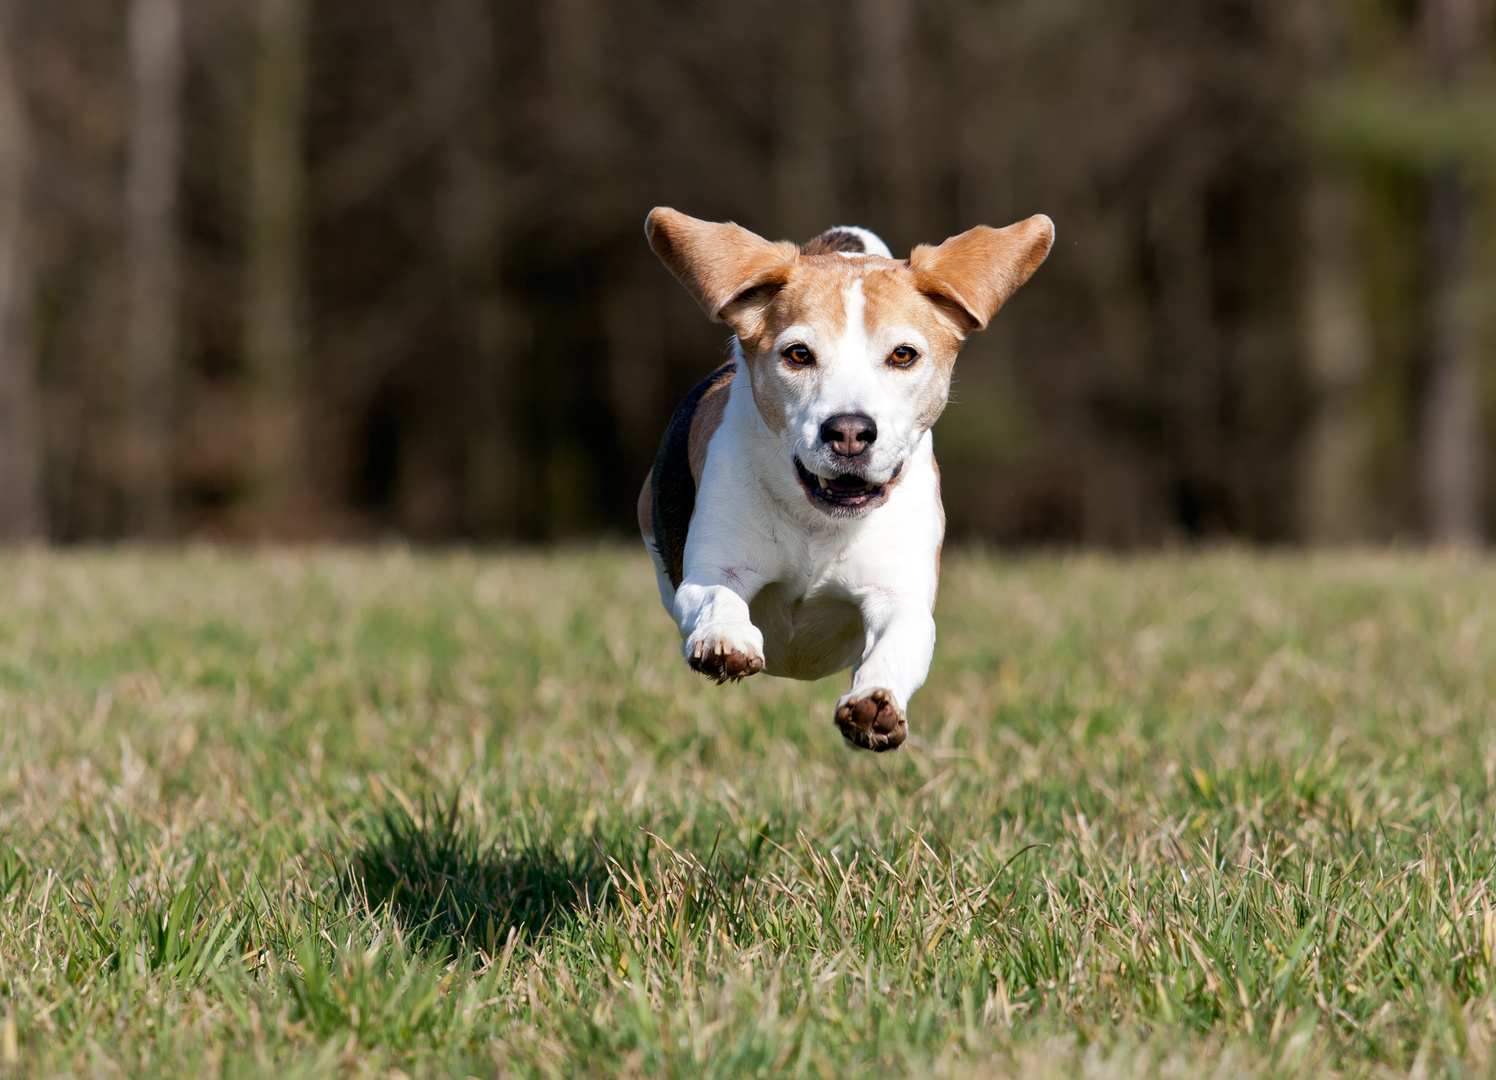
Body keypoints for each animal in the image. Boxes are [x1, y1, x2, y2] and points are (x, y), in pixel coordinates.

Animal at [634, 206, 1053, 744]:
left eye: (902, 354)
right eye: (798, 354)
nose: (850, 432)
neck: (820, 521)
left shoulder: (900, 597)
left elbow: (898, 640)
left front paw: (876, 701)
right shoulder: (713, 569)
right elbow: (716, 596)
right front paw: (726, 639)